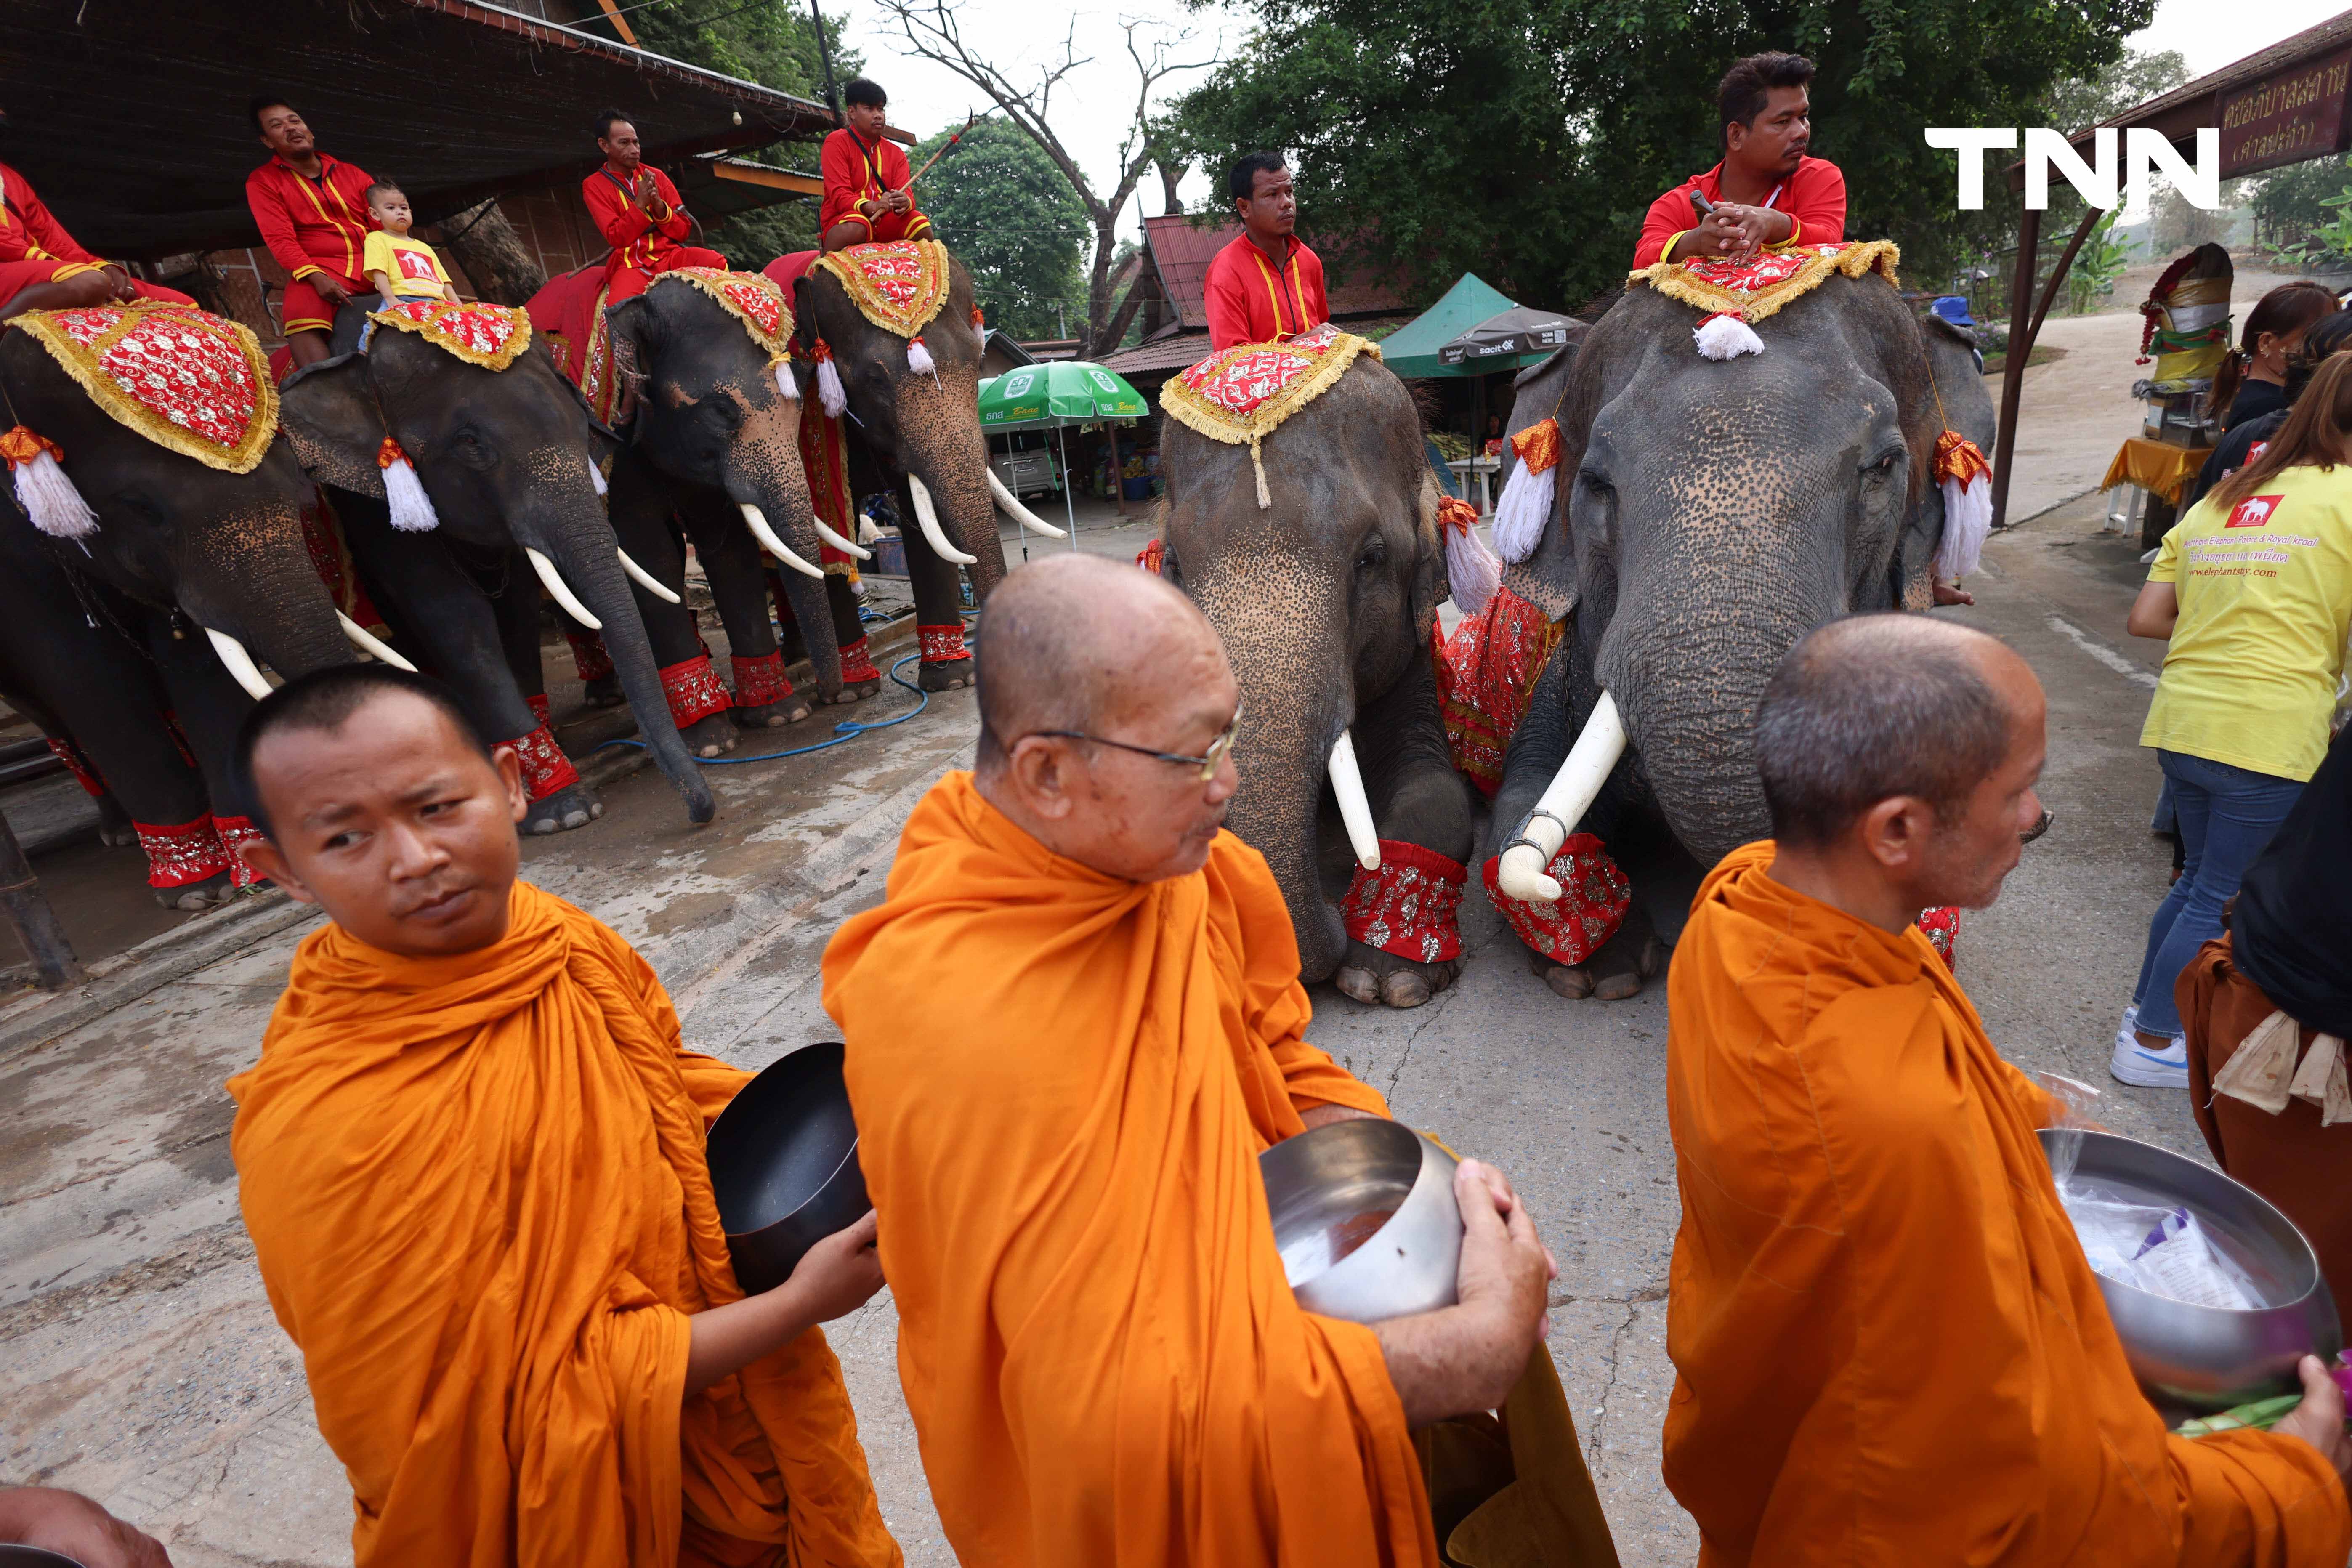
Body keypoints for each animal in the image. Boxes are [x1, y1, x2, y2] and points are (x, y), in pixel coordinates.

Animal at [270, 310, 710, 841]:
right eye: (471, 444)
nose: (702, 812)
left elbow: (516, 604)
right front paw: (565, 813)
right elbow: (452, 613)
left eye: (582, 426)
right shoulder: (370, 504)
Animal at [1152, 338, 1477, 1011]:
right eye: (1172, 563)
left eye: (1371, 559)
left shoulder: (1412, 664)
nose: (1331, 908)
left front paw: (1389, 977)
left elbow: (1437, 789)